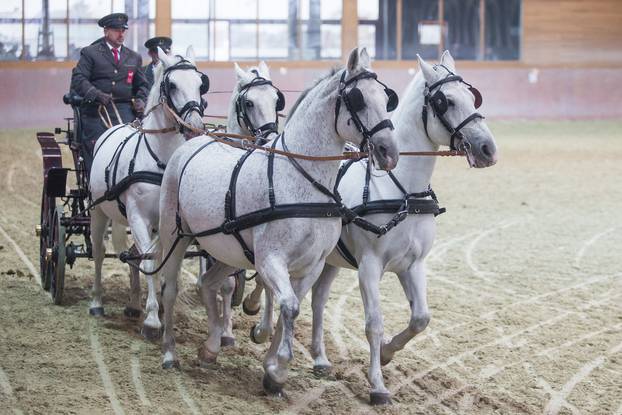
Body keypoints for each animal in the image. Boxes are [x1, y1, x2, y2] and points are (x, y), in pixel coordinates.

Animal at [88, 46, 205, 338]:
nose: (195, 126)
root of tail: (115, 125)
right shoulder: (139, 216)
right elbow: (151, 262)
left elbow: (160, 261)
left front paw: (161, 307)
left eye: (201, 83)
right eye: (171, 85)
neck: (161, 160)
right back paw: (96, 302)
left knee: (133, 254)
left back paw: (133, 304)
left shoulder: (165, 223)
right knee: (99, 251)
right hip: (98, 211)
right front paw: (152, 319)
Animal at [156, 47, 400, 394]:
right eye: (358, 99)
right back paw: (169, 351)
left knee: (209, 283)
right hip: (174, 236)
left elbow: (293, 305)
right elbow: (290, 306)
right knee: (170, 287)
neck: (303, 181)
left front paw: (272, 368)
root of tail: (194, 142)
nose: (388, 151)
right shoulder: (270, 260)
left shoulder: (311, 265)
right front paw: (280, 366)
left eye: (385, 96)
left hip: (228, 251)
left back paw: (211, 346)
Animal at [241, 50, 500, 404]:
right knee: (269, 286)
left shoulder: (413, 265)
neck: (403, 192)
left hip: (329, 261)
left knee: (318, 300)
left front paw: (389, 353)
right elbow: (374, 323)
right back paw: (261, 324)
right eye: (445, 101)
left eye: (473, 97)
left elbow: (421, 318)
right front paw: (377, 385)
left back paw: (320, 358)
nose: (488, 148)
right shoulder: (369, 266)